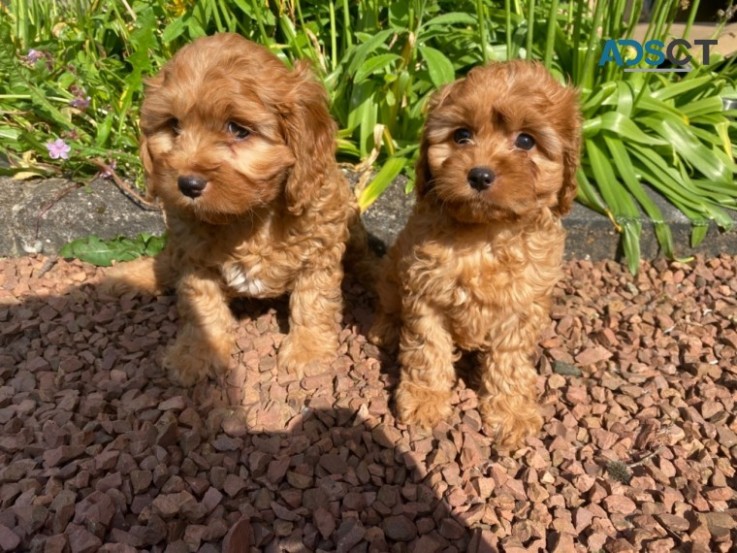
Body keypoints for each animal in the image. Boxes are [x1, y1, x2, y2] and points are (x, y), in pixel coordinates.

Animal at [100, 34, 360, 386]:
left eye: (238, 129)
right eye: (174, 126)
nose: (187, 184)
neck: (250, 217)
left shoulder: (319, 249)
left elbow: (313, 300)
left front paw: (308, 352)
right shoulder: (194, 258)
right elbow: (202, 306)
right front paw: (197, 353)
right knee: (165, 262)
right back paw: (128, 276)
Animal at [368, 61, 580, 448]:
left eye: (525, 140)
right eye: (461, 135)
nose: (480, 175)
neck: (484, 235)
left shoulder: (522, 305)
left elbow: (510, 362)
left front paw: (511, 413)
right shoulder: (425, 292)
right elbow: (428, 349)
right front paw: (424, 399)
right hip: (393, 270)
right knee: (389, 304)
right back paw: (386, 328)